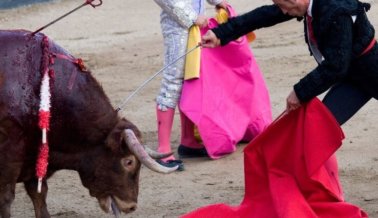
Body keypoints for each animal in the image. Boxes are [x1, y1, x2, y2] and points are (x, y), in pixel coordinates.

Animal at [0, 30, 176, 218]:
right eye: (129, 162)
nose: (131, 206)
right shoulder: (9, 158)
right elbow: (6, 198)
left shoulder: (36, 160)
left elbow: (39, 194)